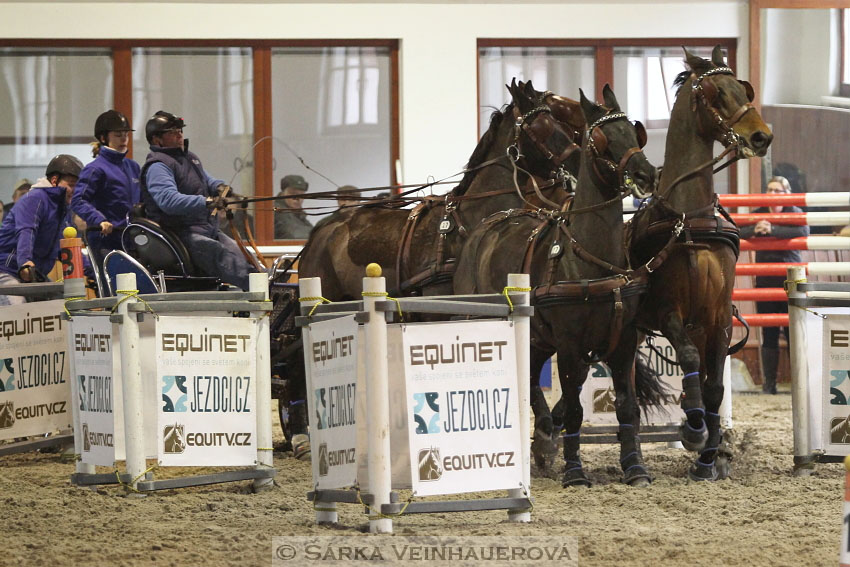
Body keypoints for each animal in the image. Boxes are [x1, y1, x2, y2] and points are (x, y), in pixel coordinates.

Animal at [454, 86, 660, 486]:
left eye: (634, 131)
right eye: (602, 139)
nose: (646, 173)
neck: (591, 257)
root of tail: (487, 225)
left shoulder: (625, 341)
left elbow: (627, 407)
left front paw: (635, 467)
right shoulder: (568, 344)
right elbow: (576, 409)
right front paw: (575, 472)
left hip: (535, 336)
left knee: (531, 377)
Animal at [628, 46, 772, 482]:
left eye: (743, 88)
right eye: (715, 93)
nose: (761, 136)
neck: (690, 218)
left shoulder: (719, 315)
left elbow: (715, 387)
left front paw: (709, 458)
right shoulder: (668, 309)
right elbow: (690, 359)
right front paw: (692, 429)